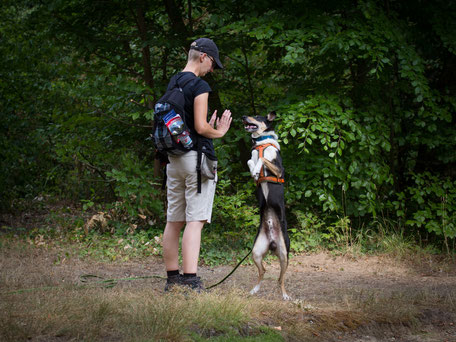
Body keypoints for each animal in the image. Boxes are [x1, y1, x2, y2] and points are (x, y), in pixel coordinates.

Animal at [242, 111, 292, 300]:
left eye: (256, 116)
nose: (243, 117)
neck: (261, 142)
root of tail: (272, 242)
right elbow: (250, 160)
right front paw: (254, 171)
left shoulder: (278, 170)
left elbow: (263, 158)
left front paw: (258, 167)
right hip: (256, 252)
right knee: (263, 270)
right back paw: (254, 289)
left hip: (284, 254)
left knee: (280, 278)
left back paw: (285, 296)